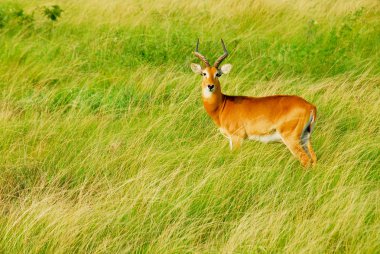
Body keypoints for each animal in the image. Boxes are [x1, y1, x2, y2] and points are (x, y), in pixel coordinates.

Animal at [190, 39, 318, 167]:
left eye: (218, 74)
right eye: (204, 73)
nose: (210, 86)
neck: (223, 105)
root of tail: (310, 106)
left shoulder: (237, 137)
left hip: (291, 139)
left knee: (306, 160)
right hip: (305, 138)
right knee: (314, 159)